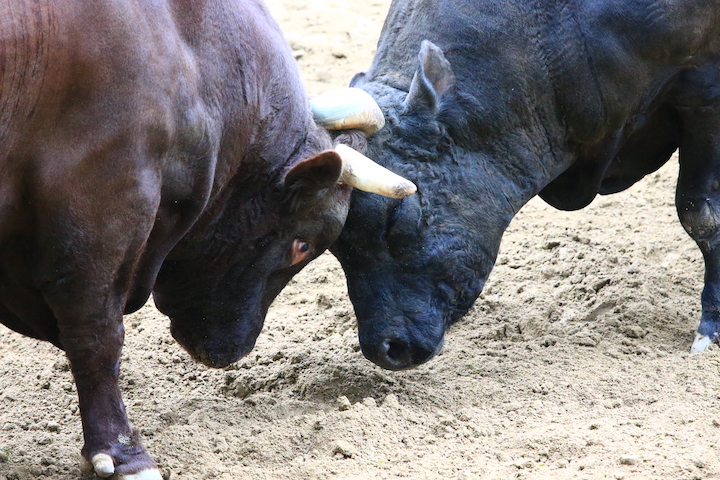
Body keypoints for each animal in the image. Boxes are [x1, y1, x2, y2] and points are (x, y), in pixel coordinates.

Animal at [324, 0, 720, 370]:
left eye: (394, 216)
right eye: (337, 246)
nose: (385, 348)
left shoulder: (703, 93)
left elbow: (701, 214)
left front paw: (710, 329)